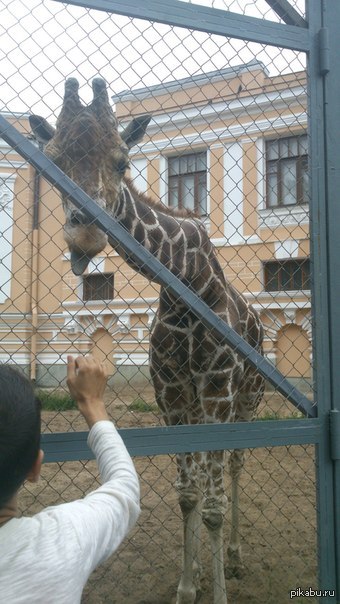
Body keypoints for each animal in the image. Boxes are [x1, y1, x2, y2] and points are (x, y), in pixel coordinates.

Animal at [30, 79, 266, 604]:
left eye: (122, 160)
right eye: (53, 161)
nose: (85, 238)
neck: (186, 281)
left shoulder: (218, 390)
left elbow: (214, 503)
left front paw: (216, 590)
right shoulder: (172, 392)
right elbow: (188, 494)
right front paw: (186, 586)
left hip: (247, 399)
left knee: (238, 465)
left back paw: (237, 556)